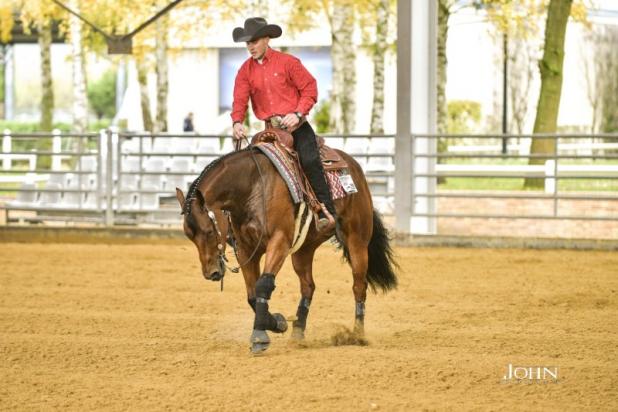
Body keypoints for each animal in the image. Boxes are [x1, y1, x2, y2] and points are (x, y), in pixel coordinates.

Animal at [174, 140, 394, 352]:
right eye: (189, 236)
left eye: (209, 231)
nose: (211, 273)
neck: (252, 186)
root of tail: (353, 165)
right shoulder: (246, 250)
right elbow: (252, 295)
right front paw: (278, 323)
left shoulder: (279, 241)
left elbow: (263, 284)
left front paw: (260, 336)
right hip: (304, 249)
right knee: (308, 286)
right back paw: (298, 333)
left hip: (357, 240)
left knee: (359, 286)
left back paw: (357, 335)